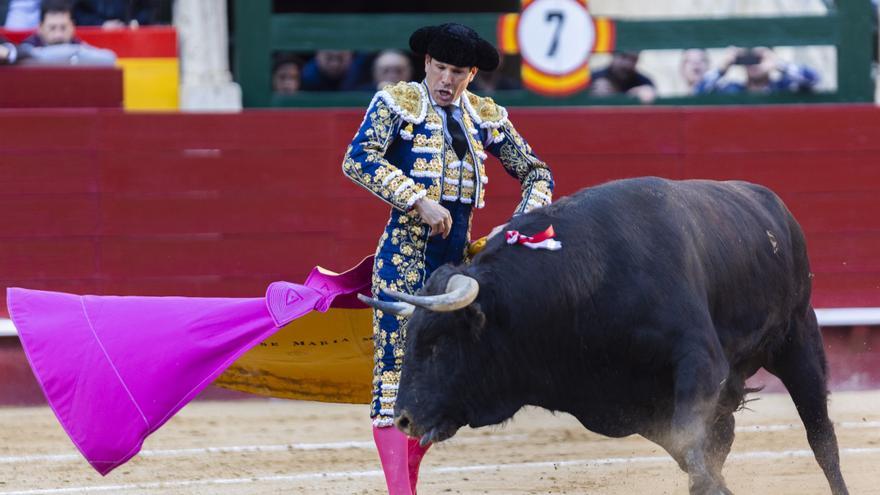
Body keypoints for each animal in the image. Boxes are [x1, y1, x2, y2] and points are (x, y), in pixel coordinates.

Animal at [360, 178, 848, 495]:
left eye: (439, 344)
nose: (403, 419)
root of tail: (773, 206)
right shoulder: (620, 404)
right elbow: (692, 451)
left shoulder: (700, 362)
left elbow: (693, 446)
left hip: (799, 337)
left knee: (821, 437)